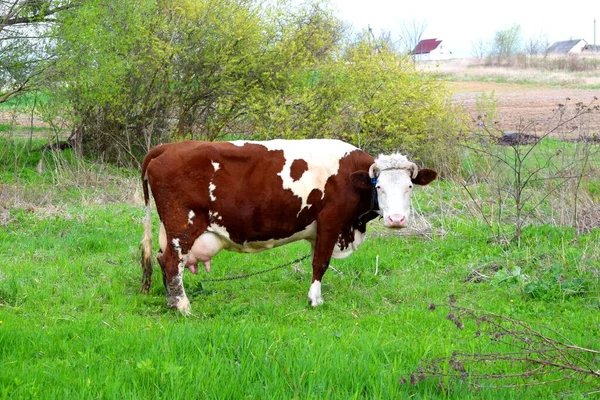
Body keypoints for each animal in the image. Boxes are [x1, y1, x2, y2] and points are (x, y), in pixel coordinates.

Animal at [139, 139, 436, 314]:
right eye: (380, 187)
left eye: (409, 187)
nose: (396, 220)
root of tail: (168, 147)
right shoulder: (330, 221)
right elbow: (320, 263)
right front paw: (315, 300)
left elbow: (317, 260)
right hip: (182, 224)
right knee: (171, 261)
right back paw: (182, 306)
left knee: (164, 261)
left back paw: (172, 301)